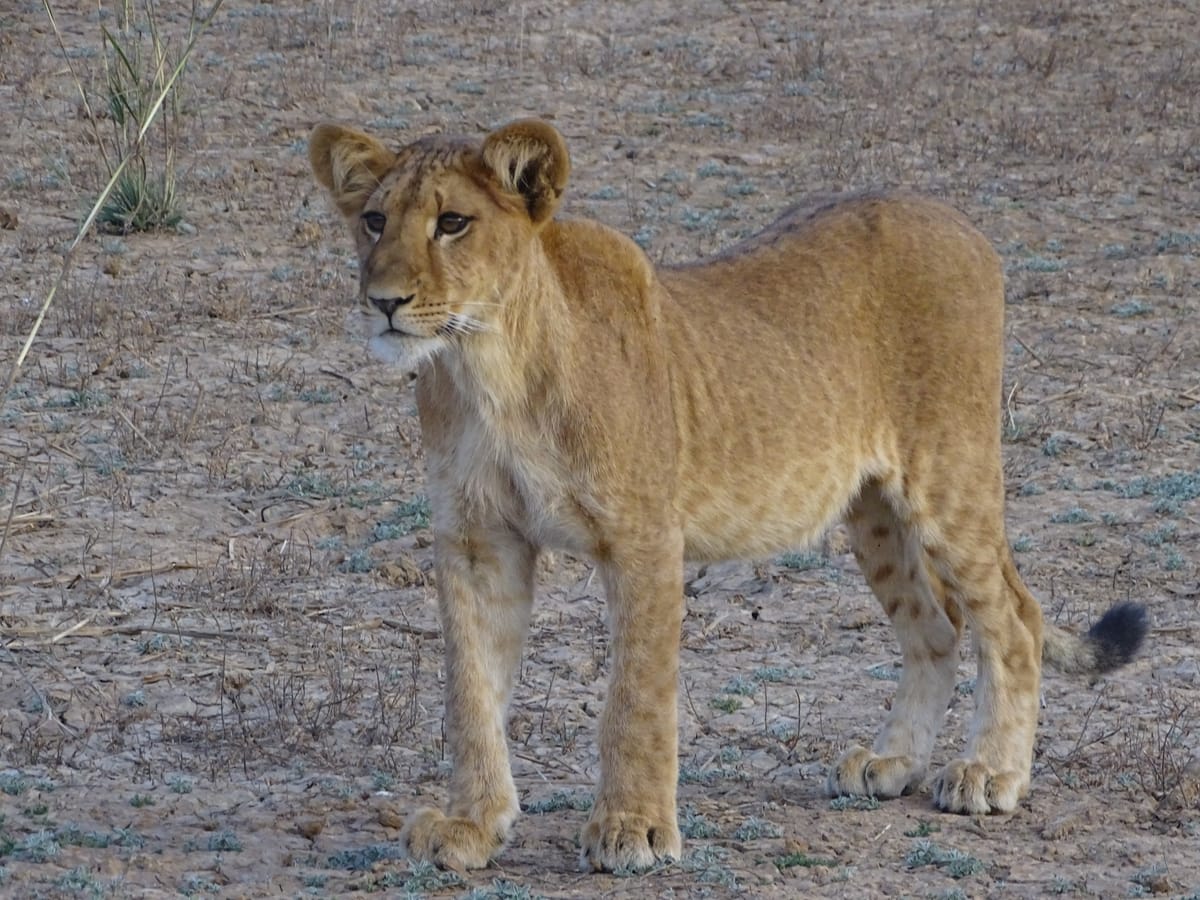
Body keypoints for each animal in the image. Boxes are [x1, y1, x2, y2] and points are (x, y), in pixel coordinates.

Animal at [308, 118, 1147, 873]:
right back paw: (891, 763)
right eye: (375, 220)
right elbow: (470, 691)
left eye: (452, 223)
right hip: (874, 513)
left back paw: (990, 774)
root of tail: (954, 215)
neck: (488, 367)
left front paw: (634, 829)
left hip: (950, 475)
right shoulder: (480, 539)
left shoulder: (643, 538)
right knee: (935, 629)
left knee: (1015, 619)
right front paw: (471, 826)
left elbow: (636, 696)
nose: (383, 300)